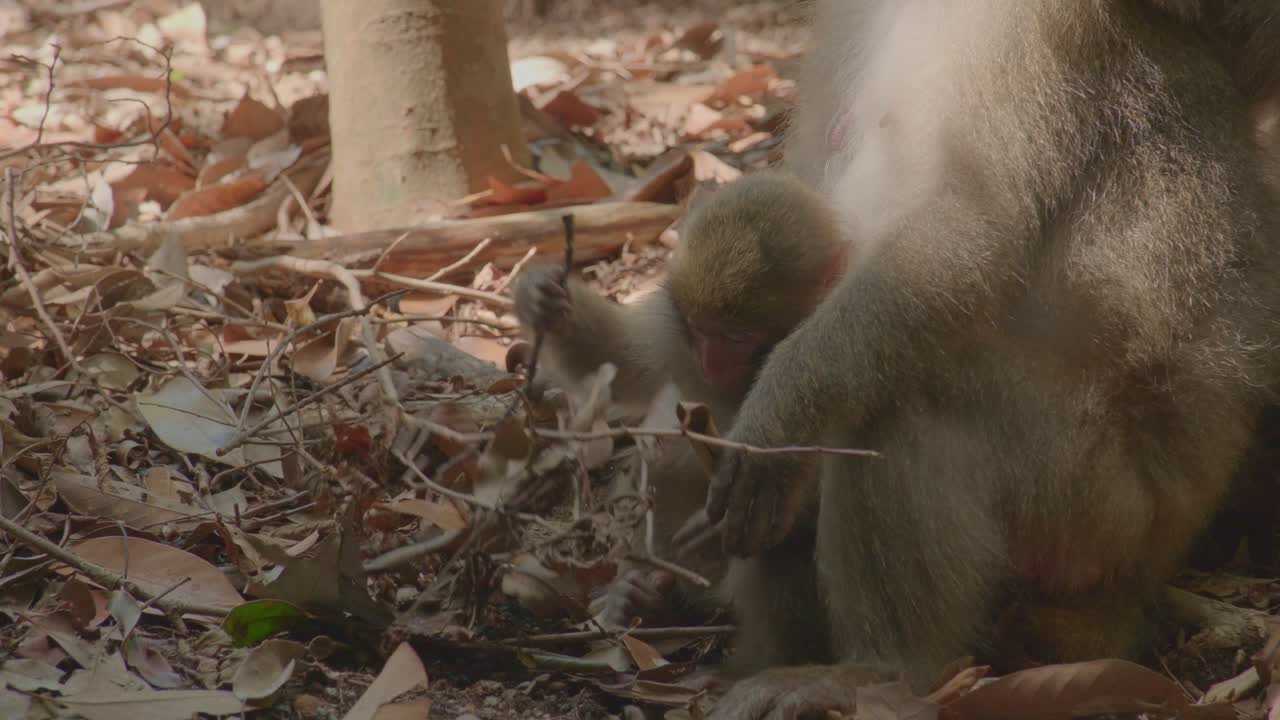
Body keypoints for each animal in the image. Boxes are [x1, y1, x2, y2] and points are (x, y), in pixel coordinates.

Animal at [514, 171, 846, 644]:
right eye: (698, 328)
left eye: (738, 337)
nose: (710, 362)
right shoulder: (674, 336)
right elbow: (620, 361)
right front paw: (544, 297)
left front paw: (726, 518)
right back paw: (632, 597)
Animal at [696, 2, 1280, 718]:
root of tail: (1146, 563)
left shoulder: (1031, 30)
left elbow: (966, 232)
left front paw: (780, 410)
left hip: (1089, 506)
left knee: (900, 405)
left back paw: (883, 670)